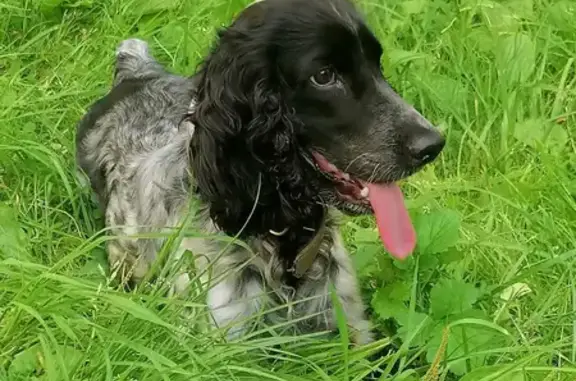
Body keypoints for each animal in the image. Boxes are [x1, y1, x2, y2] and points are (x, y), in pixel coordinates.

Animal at [75, 0, 446, 344]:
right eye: (324, 76)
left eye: (376, 64)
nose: (433, 144)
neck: (281, 239)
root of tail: (137, 74)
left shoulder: (351, 327)